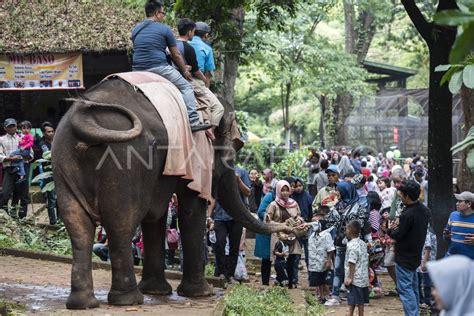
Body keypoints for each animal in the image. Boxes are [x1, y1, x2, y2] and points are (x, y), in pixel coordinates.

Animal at [53, 76, 286, 308]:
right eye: (234, 150)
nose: (289, 225)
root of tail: (83, 120)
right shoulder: (195, 154)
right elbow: (190, 208)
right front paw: (202, 293)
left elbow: (156, 215)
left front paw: (157, 291)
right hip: (123, 163)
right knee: (121, 224)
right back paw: (128, 300)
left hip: (63, 164)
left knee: (78, 227)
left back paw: (83, 303)